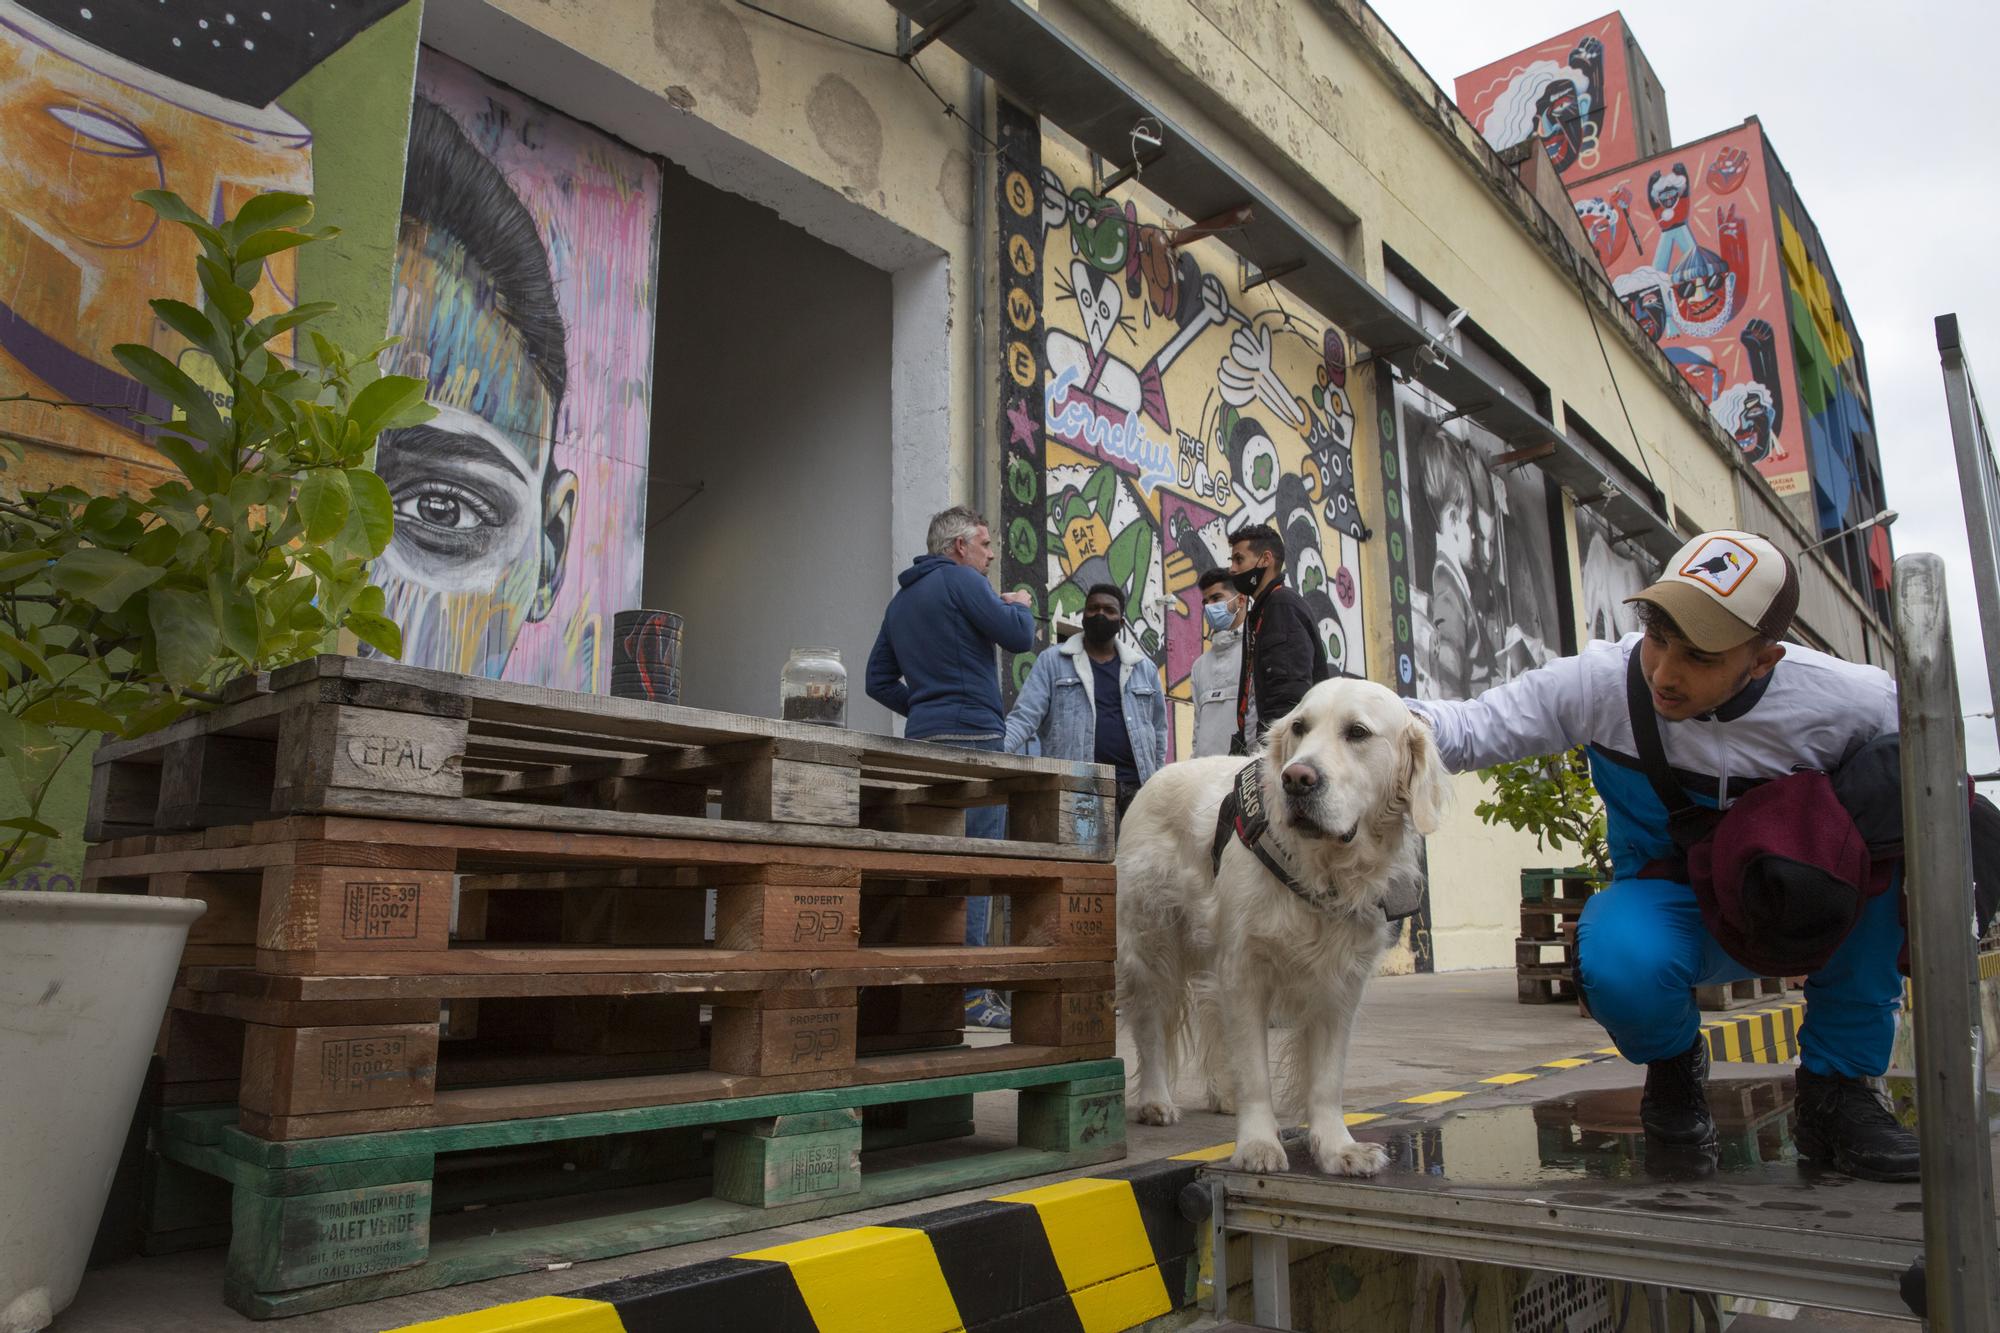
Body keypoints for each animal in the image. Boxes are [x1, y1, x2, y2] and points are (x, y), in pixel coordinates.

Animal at [1120, 680, 1448, 1168]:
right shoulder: (1244, 970)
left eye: (1357, 732)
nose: (1296, 778)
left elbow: (1327, 1078)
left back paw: (1223, 1094)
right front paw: (1258, 1143)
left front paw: (1338, 1147)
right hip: (1150, 944)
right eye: (1299, 727)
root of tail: (1158, 776)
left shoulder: (1340, 983)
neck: (1322, 870)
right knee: (1150, 1027)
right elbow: (1255, 1072)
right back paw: (1156, 1100)